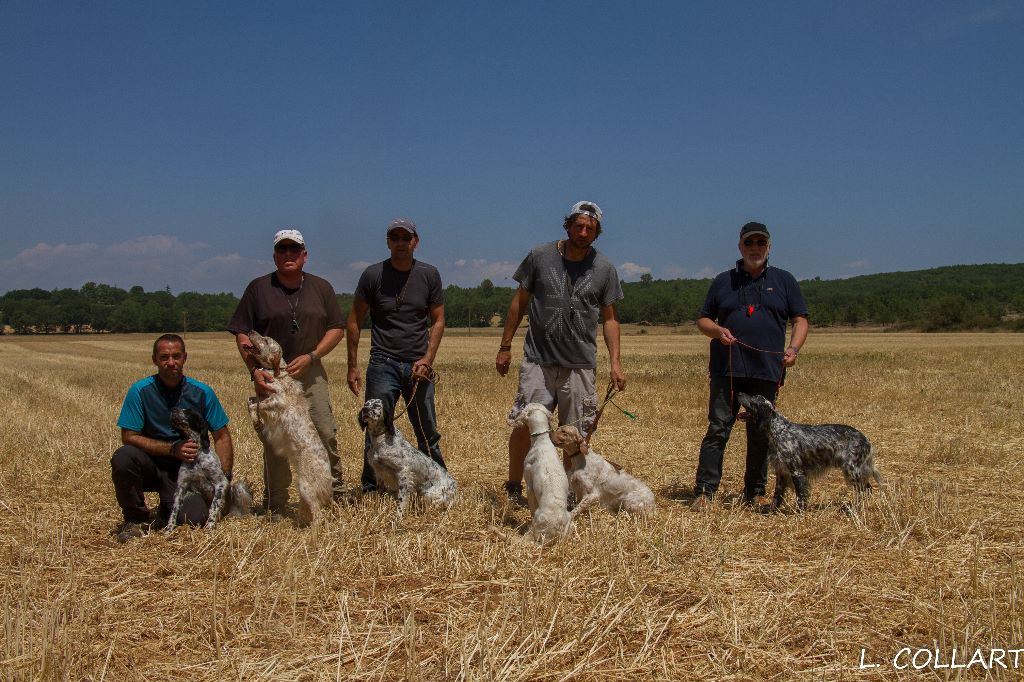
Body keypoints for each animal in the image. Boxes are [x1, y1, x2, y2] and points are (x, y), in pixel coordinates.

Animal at [164, 403, 252, 532]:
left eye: (189, 411)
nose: (173, 408)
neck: (197, 456)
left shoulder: (221, 483)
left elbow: (214, 506)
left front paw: (210, 525)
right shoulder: (181, 486)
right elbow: (174, 510)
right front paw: (169, 528)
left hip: (239, 487)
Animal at [737, 391, 880, 507]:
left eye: (753, 400)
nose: (739, 392)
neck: (779, 431)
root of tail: (866, 439)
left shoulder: (797, 472)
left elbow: (800, 497)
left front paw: (800, 515)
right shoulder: (781, 471)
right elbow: (777, 495)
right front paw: (772, 510)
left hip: (851, 470)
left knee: (864, 490)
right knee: (867, 488)